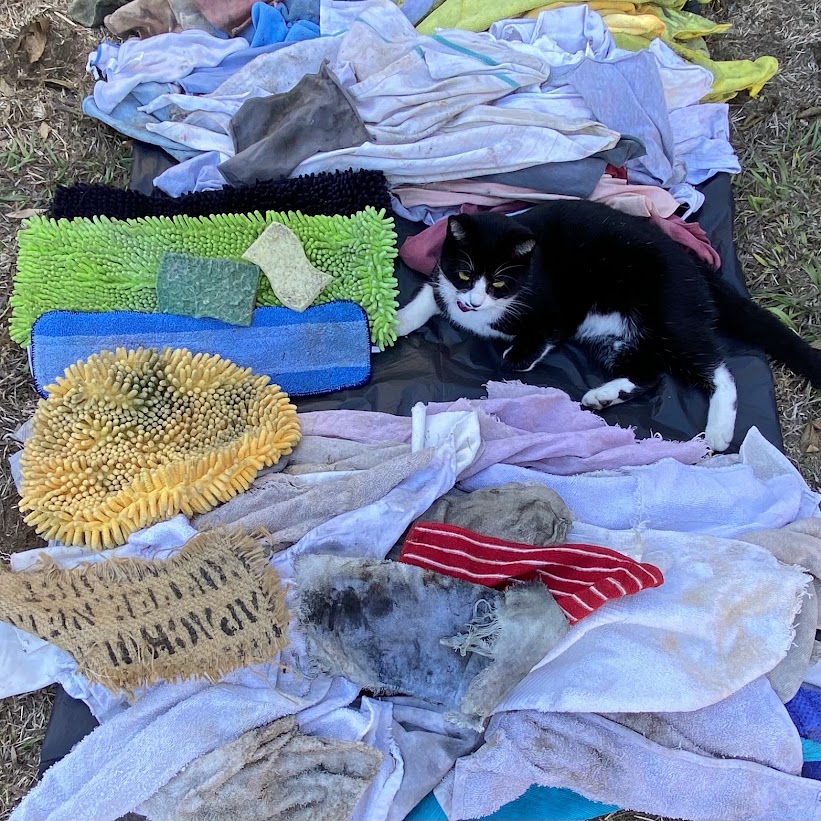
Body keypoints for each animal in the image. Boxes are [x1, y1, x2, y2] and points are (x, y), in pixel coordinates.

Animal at [395, 201, 821, 452]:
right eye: (465, 273)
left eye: (500, 283)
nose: (473, 301)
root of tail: (695, 266)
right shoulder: (445, 280)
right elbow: (432, 295)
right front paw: (398, 322)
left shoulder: (556, 309)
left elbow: (533, 341)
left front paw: (516, 354)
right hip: (617, 337)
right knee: (650, 372)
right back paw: (604, 396)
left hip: (670, 317)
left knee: (717, 368)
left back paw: (718, 431)